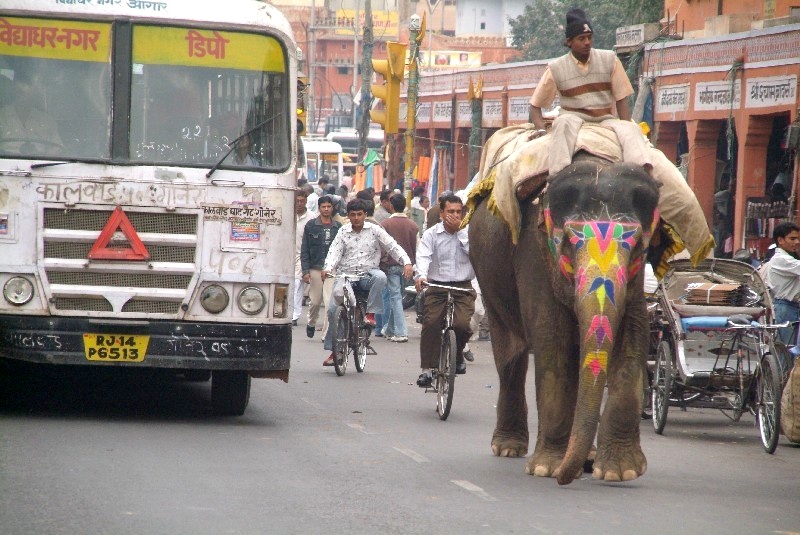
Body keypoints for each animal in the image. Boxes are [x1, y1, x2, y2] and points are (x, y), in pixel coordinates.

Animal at [468, 155, 656, 486]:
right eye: (567, 243)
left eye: (636, 247)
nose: (564, 479)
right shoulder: (534, 253)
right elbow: (552, 338)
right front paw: (548, 469)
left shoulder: (634, 281)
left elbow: (635, 333)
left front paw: (619, 472)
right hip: (487, 274)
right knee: (510, 353)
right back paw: (508, 448)